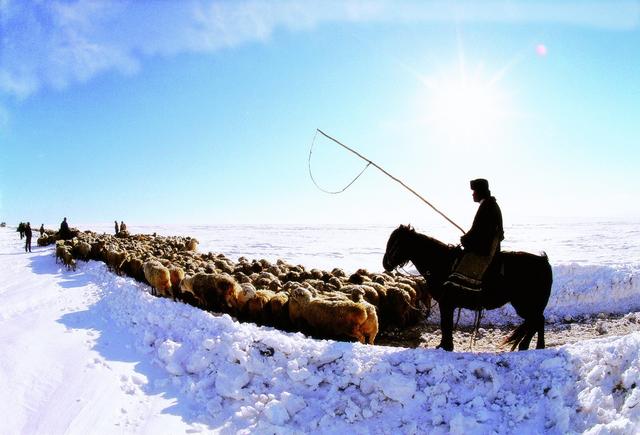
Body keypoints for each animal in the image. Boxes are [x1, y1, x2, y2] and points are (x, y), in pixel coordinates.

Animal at [382, 227, 552, 352]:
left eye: (395, 242)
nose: (385, 263)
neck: (442, 263)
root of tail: (544, 261)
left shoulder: (446, 303)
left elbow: (446, 324)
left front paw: (446, 346)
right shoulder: (447, 304)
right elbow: (446, 324)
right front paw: (444, 345)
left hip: (525, 305)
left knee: (536, 321)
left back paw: (527, 346)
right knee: (536, 322)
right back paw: (534, 346)